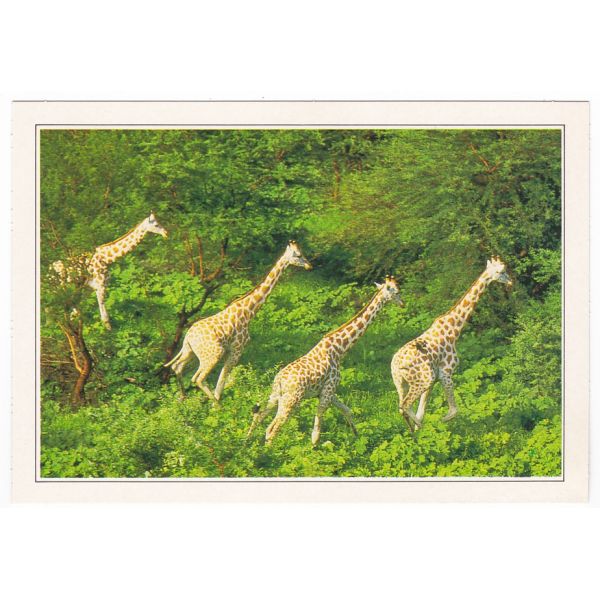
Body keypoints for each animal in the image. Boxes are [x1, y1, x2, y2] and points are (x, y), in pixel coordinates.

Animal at [165, 241, 312, 405]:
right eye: (298, 255)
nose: (309, 266)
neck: (249, 312)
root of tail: (188, 337)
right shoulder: (237, 349)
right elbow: (221, 380)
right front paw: (217, 405)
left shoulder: (231, 351)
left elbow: (222, 379)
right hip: (213, 354)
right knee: (198, 378)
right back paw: (216, 405)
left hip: (189, 351)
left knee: (177, 367)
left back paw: (183, 398)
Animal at [248, 276, 404, 446]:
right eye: (396, 292)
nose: (403, 304)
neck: (339, 349)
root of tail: (280, 380)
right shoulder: (327, 392)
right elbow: (316, 434)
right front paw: (315, 449)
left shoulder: (328, 391)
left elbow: (347, 410)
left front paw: (357, 437)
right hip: (291, 400)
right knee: (272, 429)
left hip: (276, 396)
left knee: (259, 417)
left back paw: (248, 443)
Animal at [391, 256, 512, 433]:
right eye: (500, 271)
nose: (510, 282)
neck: (454, 330)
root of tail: (395, 365)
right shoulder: (445, 373)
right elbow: (453, 411)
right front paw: (439, 423)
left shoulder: (434, 380)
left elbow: (422, 411)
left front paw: (421, 433)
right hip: (422, 380)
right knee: (404, 405)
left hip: (402, 382)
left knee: (403, 407)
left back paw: (413, 432)